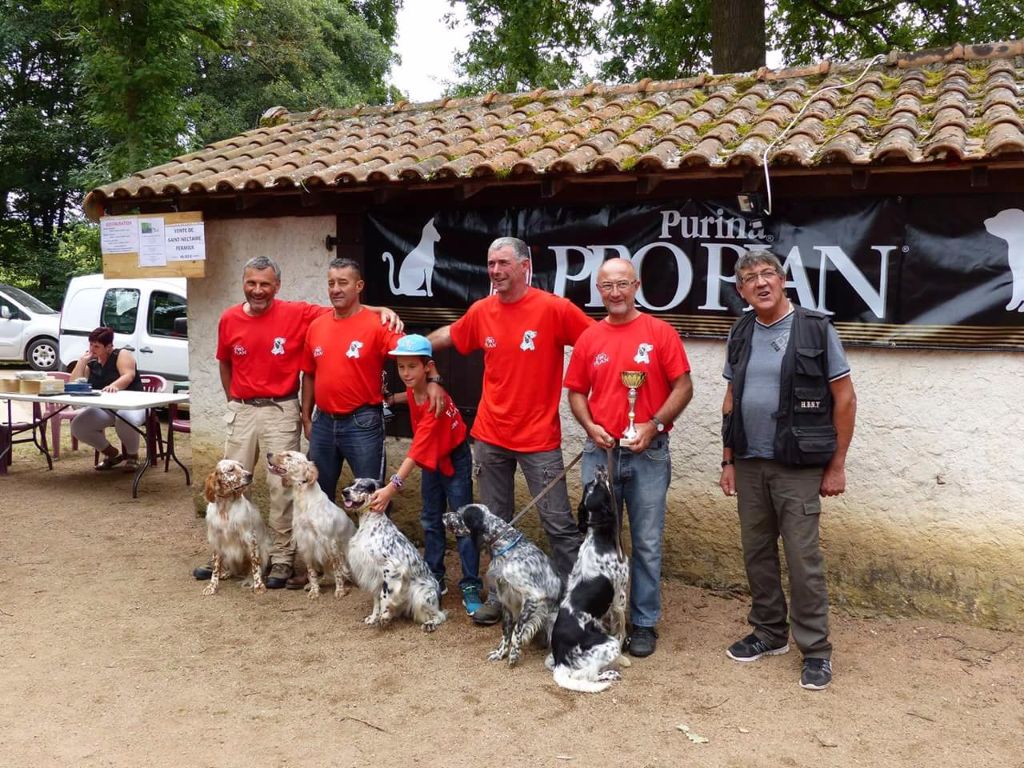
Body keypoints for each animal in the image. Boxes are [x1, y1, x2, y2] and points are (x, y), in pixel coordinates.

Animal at [200, 460, 268, 598]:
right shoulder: (216, 540)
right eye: (231, 470)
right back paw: (226, 573)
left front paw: (258, 586)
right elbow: (215, 568)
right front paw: (212, 586)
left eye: (242, 467)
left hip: (263, 551)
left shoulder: (250, 538)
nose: (250, 475)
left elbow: (255, 566)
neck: (225, 506)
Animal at [266, 450, 358, 602]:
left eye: (289, 455)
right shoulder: (306, 543)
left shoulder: (330, 543)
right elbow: (312, 572)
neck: (303, 498)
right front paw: (314, 590)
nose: (268, 453)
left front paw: (340, 591)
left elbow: (338, 571)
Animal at [342, 479, 446, 634]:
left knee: (440, 615)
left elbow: (384, 595)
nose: (345, 492)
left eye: (362, 486)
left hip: (421, 595)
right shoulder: (373, 573)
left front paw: (384, 617)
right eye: (352, 483)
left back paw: (430, 624)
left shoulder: (390, 568)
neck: (370, 523)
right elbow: (376, 598)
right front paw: (374, 617)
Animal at [444, 505, 561, 667]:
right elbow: (506, 632)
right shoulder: (506, 600)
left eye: (459, 514)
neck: (507, 548)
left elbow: (516, 631)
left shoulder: (533, 597)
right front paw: (500, 653)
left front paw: (513, 656)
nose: (443, 515)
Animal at [544, 466, 630, 696]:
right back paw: (609, 675)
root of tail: (561, 659)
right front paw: (624, 657)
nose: (600, 468)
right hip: (607, 645)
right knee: (585, 675)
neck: (597, 537)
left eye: (590, 485)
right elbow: (621, 628)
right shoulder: (619, 598)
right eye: (598, 485)